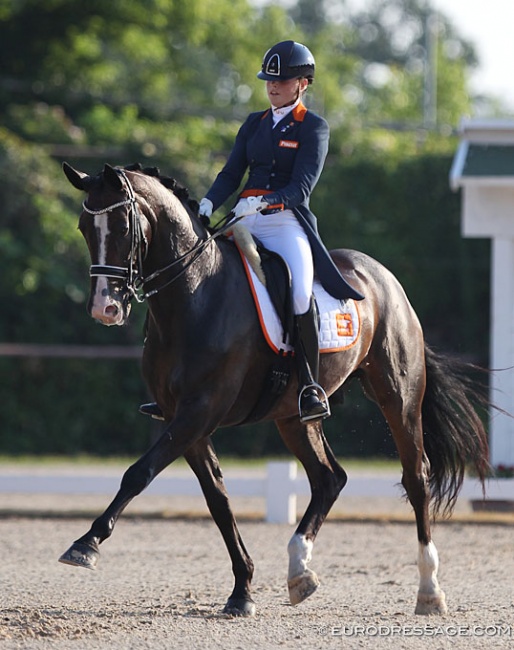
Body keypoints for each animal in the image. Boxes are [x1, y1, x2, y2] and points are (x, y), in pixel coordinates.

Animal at [60, 161, 488, 612]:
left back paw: (429, 589)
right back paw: (299, 571)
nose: (104, 308)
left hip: (398, 398)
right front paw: (242, 591)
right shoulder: (186, 419)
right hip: (295, 416)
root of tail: (384, 277)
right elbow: (218, 500)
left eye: (124, 226)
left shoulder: (200, 410)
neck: (195, 295)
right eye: (84, 227)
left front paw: (86, 544)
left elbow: (138, 473)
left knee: (415, 478)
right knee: (329, 478)